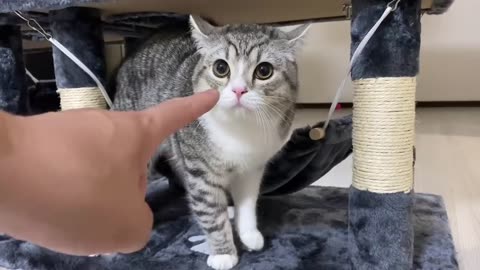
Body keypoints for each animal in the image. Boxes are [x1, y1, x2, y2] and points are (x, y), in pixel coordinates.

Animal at [111, 15, 308, 268]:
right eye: (221, 68)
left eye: (264, 70)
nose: (239, 90)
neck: (239, 130)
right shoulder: (201, 171)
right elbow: (210, 211)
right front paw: (224, 252)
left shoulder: (252, 168)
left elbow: (247, 202)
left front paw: (248, 233)